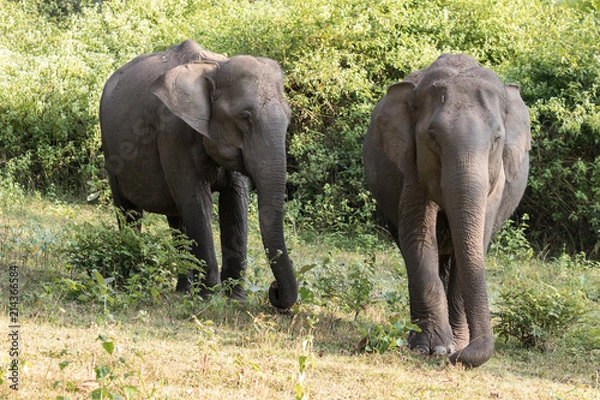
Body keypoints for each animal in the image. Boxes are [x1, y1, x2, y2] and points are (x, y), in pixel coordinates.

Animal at [99, 39, 298, 310]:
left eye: (289, 117)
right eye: (245, 117)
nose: (274, 291)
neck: (214, 68)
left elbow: (235, 202)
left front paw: (235, 300)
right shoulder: (172, 132)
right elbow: (197, 201)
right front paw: (211, 298)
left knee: (177, 220)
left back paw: (183, 291)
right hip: (110, 148)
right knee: (129, 212)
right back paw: (133, 280)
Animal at [364, 54, 532, 368]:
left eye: (497, 138)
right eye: (432, 136)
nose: (457, 358)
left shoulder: (496, 185)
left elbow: (475, 242)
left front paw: (459, 344)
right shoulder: (412, 170)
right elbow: (418, 237)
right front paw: (434, 348)